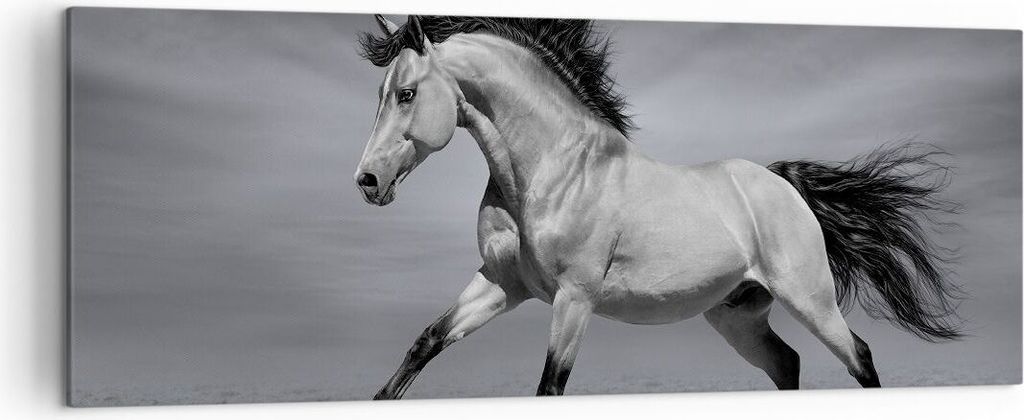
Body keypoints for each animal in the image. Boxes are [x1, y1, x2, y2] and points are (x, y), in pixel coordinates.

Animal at [353, 15, 963, 399]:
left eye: (406, 93)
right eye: (381, 93)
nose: (367, 181)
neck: (552, 171)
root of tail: (779, 183)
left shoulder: (574, 299)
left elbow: (550, 386)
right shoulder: (504, 283)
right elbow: (424, 343)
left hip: (810, 299)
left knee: (859, 356)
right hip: (737, 315)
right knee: (787, 364)